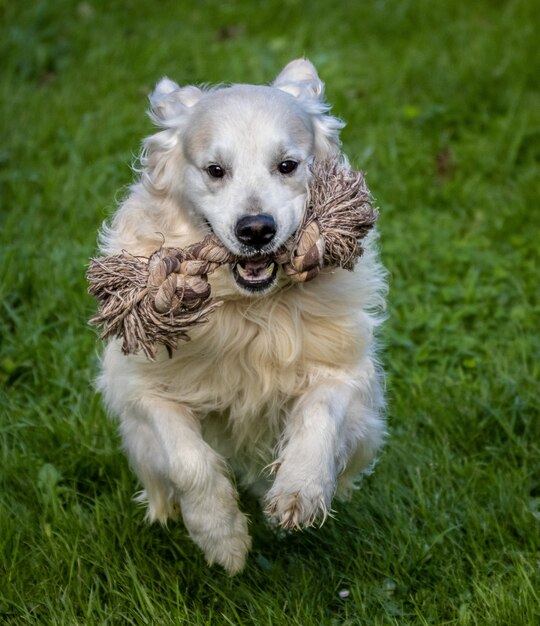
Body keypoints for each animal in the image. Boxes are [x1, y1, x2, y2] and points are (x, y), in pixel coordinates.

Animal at [96, 58, 384, 572]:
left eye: (287, 165)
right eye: (215, 170)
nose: (255, 229)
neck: (252, 311)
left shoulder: (345, 368)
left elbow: (320, 414)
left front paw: (299, 491)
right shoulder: (141, 388)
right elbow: (188, 460)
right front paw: (222, 538)